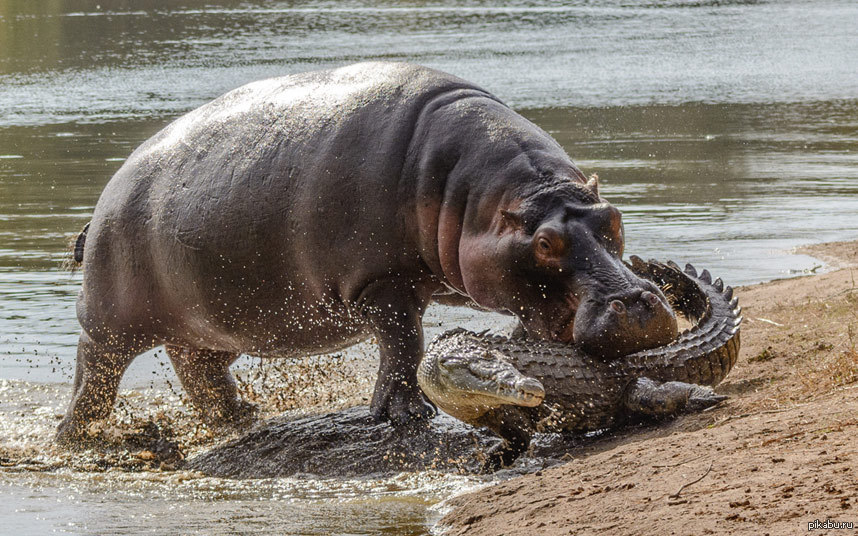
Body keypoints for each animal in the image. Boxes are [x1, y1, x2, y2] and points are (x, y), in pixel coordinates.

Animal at [58, 61, 676, 444]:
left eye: (614, 219)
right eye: (546, 243)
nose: (639, 303)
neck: (474, 196)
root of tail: (105, 197)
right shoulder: (378, 282)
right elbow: (404, 344)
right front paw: (407, 415)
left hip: (210, 321)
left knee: (198, 368)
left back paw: (243, 418)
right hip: (113, 319)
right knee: (96, 369)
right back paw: (80, 437)